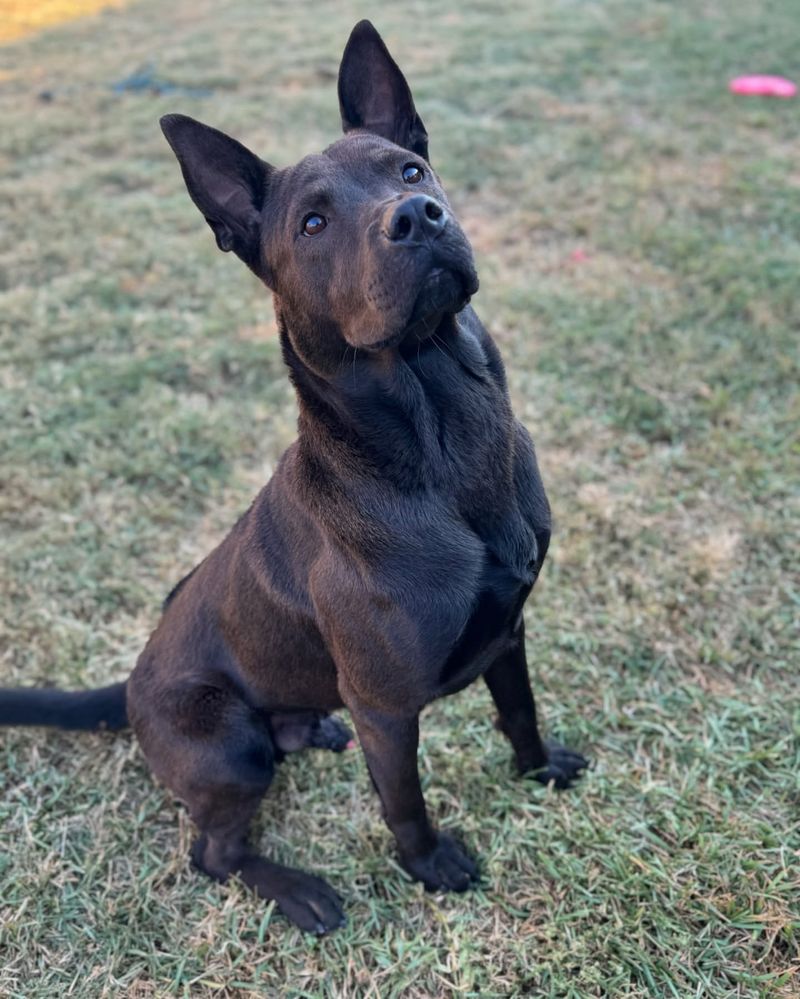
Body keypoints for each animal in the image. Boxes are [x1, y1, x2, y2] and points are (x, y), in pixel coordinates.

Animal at [0, 17, 588, 936]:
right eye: (312, 222)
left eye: (409, 170)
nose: (418, 217)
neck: (444, 438)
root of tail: (129, 688)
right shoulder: (386, 706)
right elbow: (404, 799)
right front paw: (430, 866)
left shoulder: (510, 627)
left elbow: (518, 709)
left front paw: (538, 769)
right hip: (230, 749)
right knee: (211, 853)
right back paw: (297, 887)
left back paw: (310, 729)